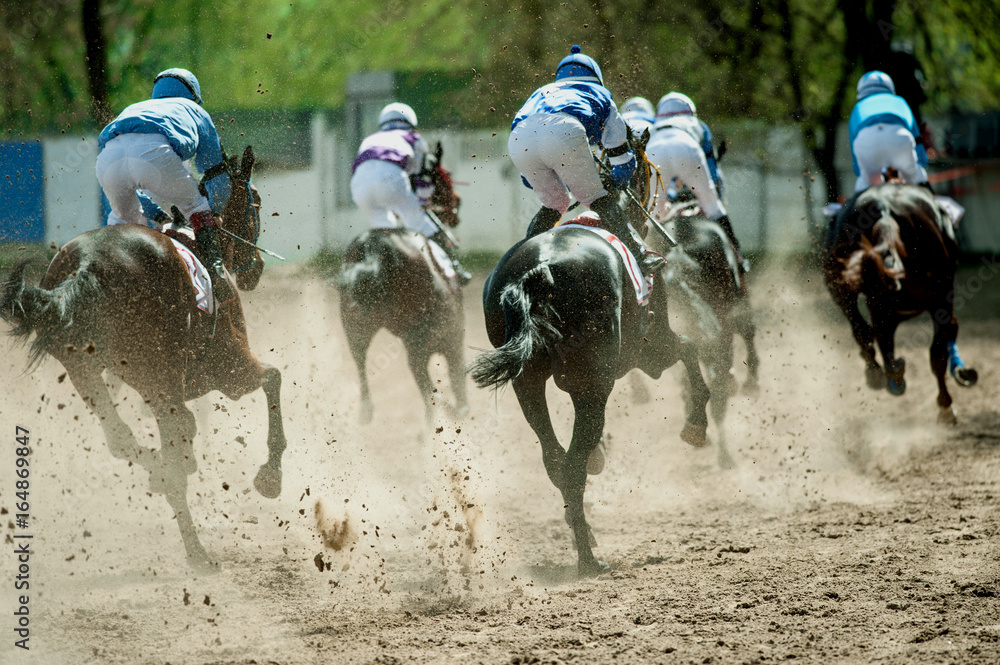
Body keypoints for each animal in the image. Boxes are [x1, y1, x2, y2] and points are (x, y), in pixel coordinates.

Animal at [0, 146, 287, 567]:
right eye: (258, 203)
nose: (255, 271)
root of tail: (86, 265)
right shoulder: (229, 369)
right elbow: (273, 378)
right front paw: (270, 475)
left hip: (86, 369)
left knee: (122, 438)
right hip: (162, 373)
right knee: (173, 439)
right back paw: (198, 551)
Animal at [338, 142, 469, 424]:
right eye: (443, 177)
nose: (457, 205)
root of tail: (372, 248)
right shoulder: (450, 337)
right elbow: (456, 387)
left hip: (355, 325)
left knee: (360, 361)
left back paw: (366, 411)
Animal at [468, 134, 711, 577]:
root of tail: (540, 269)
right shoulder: (649, 351)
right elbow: (688, 347)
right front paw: (696, 425)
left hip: (528, 384)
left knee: (556, 460)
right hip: (593, 383)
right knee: (574, 462)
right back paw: (587, 557)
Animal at [821, 181, 978, 423]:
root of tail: (884, 208)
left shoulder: (882, 308)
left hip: (840, 285)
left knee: (863, 331)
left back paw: (880, 375)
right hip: (937, 298)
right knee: (935, 352)